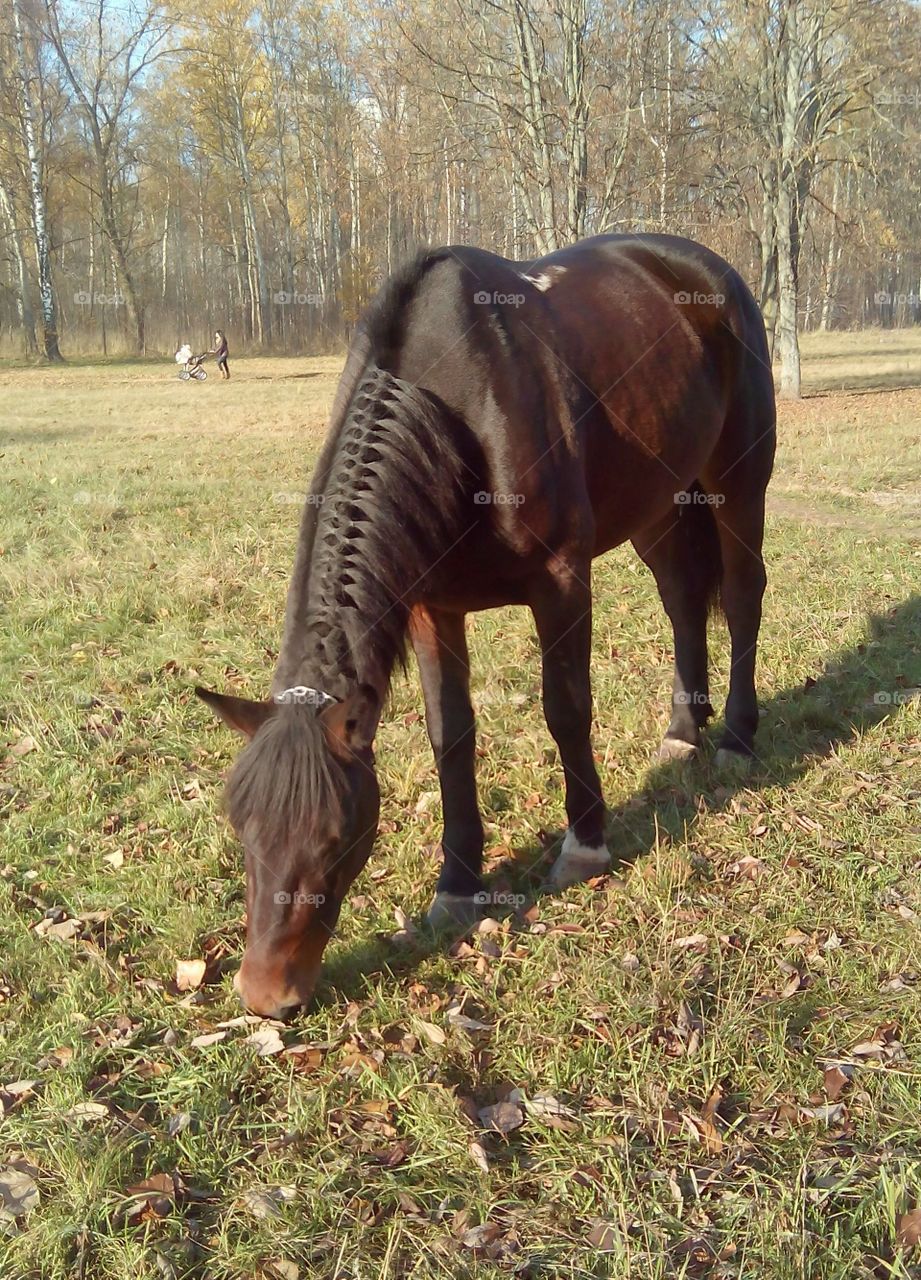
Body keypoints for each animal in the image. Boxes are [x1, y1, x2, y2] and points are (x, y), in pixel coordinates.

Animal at [198, 232, 772, 1018]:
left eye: (339, 833)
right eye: (240, 824)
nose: (265, 994)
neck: (456, 415)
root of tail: (703, 269)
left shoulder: (561, 581)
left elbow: (566, 709)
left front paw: (584, 844)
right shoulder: (431, 607)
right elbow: (451, 736)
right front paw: (458, 885)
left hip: (737, 479)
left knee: (741, 596)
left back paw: (738, 738)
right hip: (658, 501)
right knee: (683, 599)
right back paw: (683, 732)